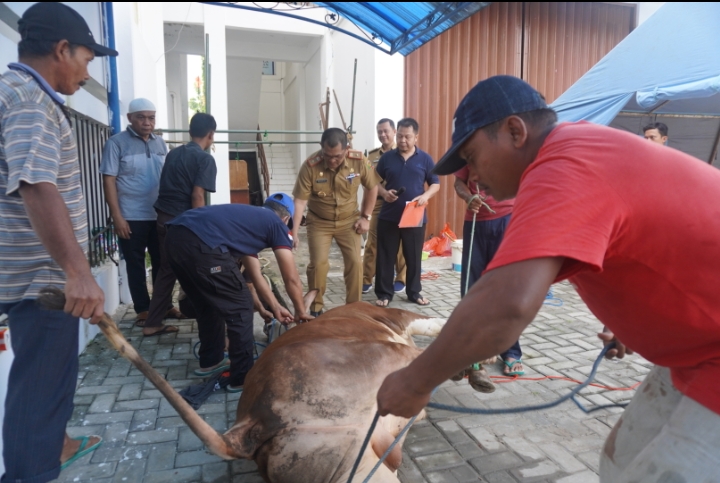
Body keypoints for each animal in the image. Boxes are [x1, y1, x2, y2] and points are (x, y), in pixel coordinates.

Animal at [39, 290, 496, 482]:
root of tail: (251, 422)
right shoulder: (397, 319)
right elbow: (436, 323)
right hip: (387, 370)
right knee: (425, 358)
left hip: (353, 464)